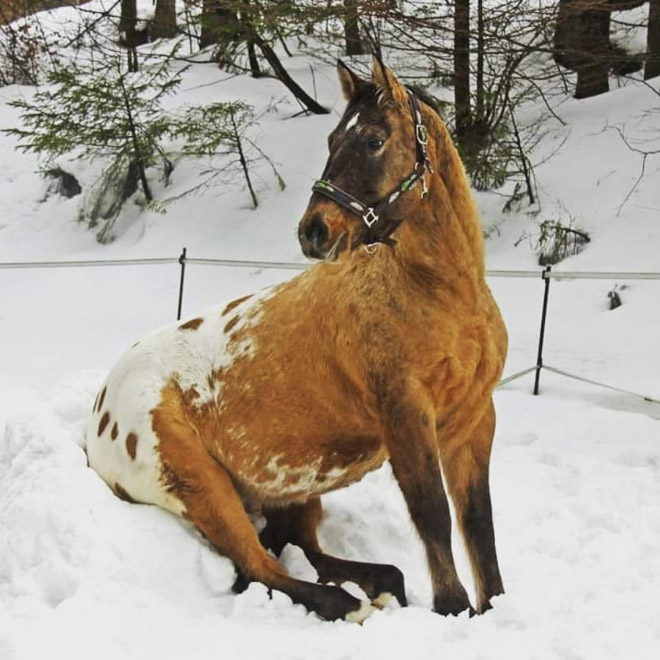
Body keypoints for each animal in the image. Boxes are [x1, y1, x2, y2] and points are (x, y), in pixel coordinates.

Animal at [85, 59, 508, 620]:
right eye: (332, 138)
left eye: (373, 139)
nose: (314, 231)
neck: (438, 295)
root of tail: (101, 410)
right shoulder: (407, 417)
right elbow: (433, 513)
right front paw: (453, 609)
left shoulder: (474, 419)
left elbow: (478, 521)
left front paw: (495, 607)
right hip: (203, 489)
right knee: (263, 568)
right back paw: (348, 606)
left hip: (293, 493)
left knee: (299, 550)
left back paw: (378, 588)